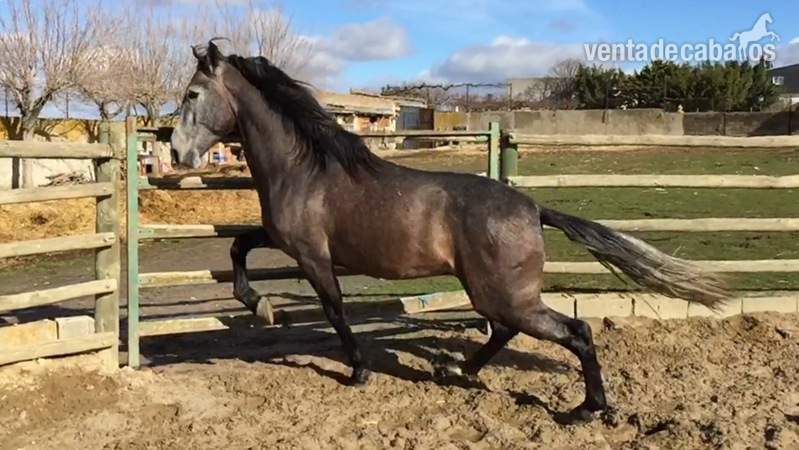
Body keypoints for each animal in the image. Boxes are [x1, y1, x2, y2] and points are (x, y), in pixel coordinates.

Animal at [169, 38, 733, 425]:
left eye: (193, 93)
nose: (177, 152)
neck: (308, 167)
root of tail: (533, 208)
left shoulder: (313, 256)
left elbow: (335, 312)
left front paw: (357, 370)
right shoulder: (285, 241)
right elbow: (239, 246)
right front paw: (260, 305)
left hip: (502, 294)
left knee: (575, 333)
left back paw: (584, 409)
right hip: (494, 292)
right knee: (507, 332)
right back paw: (459, 372)